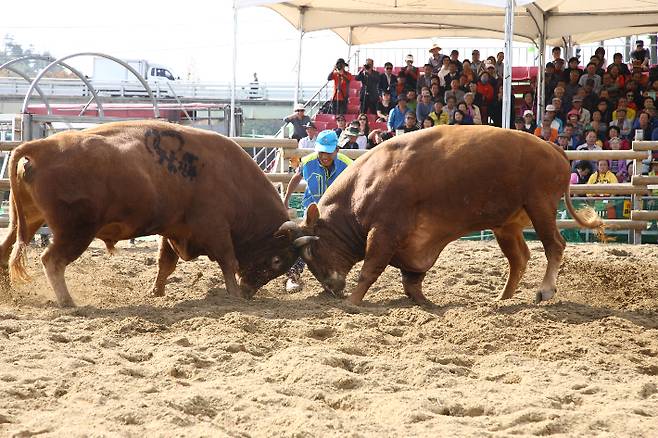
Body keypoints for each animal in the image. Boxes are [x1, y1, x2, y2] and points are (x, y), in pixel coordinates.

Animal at [0, 119, 298, 304]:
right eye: (276, 260)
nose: (248, 292)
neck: (231, 176)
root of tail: (40, 147)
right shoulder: (216, 228)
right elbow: (228, 261)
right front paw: (233, 294)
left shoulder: (174, 229)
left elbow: (165, 264)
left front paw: (156, 292)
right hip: (74, 231)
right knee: (53, 260)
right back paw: (67, 301)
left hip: (25, 221)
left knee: (5, 250)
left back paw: (8, 292)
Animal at [280, 125, 604, 306]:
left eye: (311, 251)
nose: (332, 288)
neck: (365, 183)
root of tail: (553, 149)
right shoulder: (414, 241)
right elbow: (412, 278)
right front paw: (424, 301)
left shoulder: (385, 231)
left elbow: (370, 269)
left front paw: (353, 301)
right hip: (507, 224)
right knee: (519, 258)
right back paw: (502, 298)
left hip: (541, 207)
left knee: (554, 246)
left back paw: (544, 290)